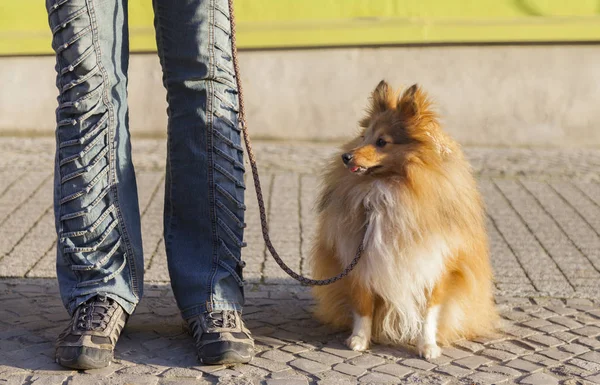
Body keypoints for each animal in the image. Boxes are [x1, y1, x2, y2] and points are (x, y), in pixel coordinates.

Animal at [310, 80, 496, 356]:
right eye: (364, 137)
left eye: (381, 141)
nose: (346, 157)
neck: (391, 189)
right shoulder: (359, 262)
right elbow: (363, 306)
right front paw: (359, 339)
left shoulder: (436, 264)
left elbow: (429, 311)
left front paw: (428, 346)